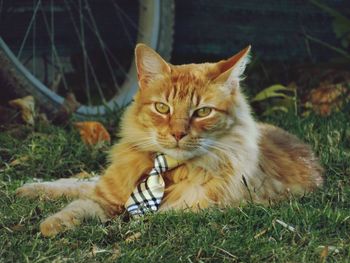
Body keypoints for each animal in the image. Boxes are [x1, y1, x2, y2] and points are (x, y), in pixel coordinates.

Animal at [15, 43, 322, 237]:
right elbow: (78, 205)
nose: (177, 133)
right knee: (79, 182)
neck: (164, 169)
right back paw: (28, 188)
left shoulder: (189, 210)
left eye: (202, 112)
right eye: (163, 108)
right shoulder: (106, 197)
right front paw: (51, 225)